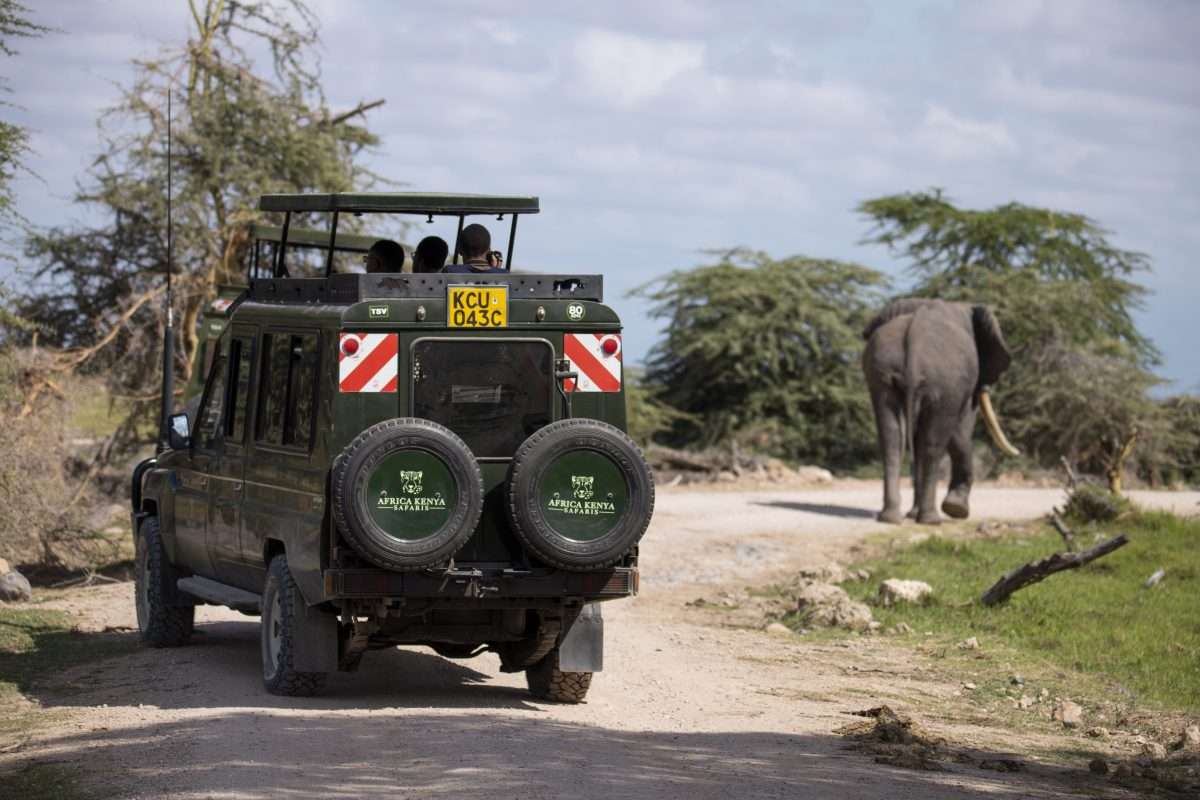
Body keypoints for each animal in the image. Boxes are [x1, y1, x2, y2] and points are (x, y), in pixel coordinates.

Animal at [861, 298, 1020, 525]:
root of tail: (914, 331)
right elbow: (959, 432)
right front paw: (956, 510)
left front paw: (912, 515)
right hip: (945, 379)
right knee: (933, 442)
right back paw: (931, 520)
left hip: (881, 370)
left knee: (892, 438)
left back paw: (890, 518)